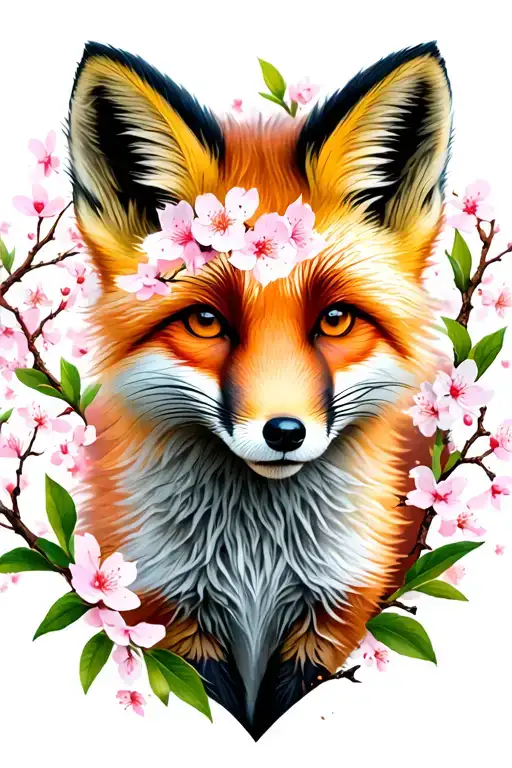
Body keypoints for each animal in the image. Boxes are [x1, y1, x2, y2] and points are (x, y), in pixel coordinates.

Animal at [68, 40, 451, 739]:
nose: (284, 433)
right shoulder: (166, 610)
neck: (257, 566)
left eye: (335, 319)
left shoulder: (335, 616)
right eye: (205, 321)